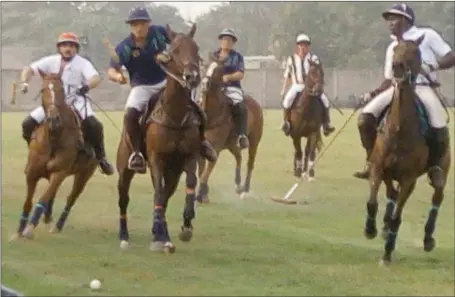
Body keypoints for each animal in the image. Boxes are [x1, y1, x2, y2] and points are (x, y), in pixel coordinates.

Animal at [10, 68, 99, 239]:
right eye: (43, 90)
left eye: (62, 90)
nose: (53, 120)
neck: (53, 138)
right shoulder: (32, 173)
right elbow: (28, 201)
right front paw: (18, 231)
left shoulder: (59, 172)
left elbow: (43, 198)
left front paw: (29, 227)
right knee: (53, 194)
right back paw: (48, 219)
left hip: (85, 173)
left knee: (71, 198)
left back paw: (57, 225)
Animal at [116, 23, 205, 252]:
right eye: (174, 51)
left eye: (197, 49)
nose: (192, 77)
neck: (174, 115)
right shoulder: (157, 158)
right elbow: (157, 192)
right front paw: (158, 233)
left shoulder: (188, 157)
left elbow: (189, 183)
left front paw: (186, 224)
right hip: (125, 168)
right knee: (124, 198)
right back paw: (124, 236)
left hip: (173, 170)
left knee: (166, 194)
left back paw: (162, 234)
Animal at [195, 53, 264, 201]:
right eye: (206, 65)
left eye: (219, 70)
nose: (204, 84)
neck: (211, 115)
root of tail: (256, 103)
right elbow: (201, 170)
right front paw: (205, 193)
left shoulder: (215, 148)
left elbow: (206, 172)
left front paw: (201, 193)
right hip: (232, 143)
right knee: (239, 157)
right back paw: (238, 185)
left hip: (254, 140)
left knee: (250, 162)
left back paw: (245, 189)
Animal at [364, 34, 452, 264]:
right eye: (395, 50)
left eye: (415, 52)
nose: (397, 68)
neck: (398, 129)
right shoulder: (378, 169)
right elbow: (372, 202)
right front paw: (370, 229)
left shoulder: (408, 180)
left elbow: (398, 217)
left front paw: (387, 254)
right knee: (391, 194)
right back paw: (384, 226)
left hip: (443, 168)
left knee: (437, 196)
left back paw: (428, 239)